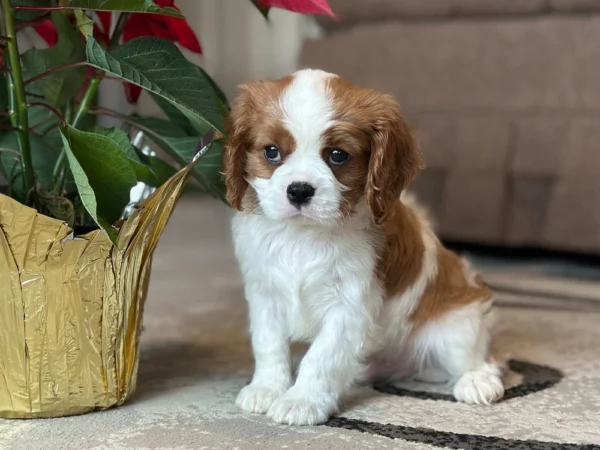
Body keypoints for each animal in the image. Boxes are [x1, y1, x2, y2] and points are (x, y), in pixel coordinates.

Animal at [223, 69, 504, 426]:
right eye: (271, 152)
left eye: (338, 155)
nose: (299, 190)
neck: (304, 234)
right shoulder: (265, 293)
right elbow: (269, 344)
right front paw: (267, 388)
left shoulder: (349, 305)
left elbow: (321, 356)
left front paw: (301, 400)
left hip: (456, 328)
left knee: (481, 360)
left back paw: (477, 381)